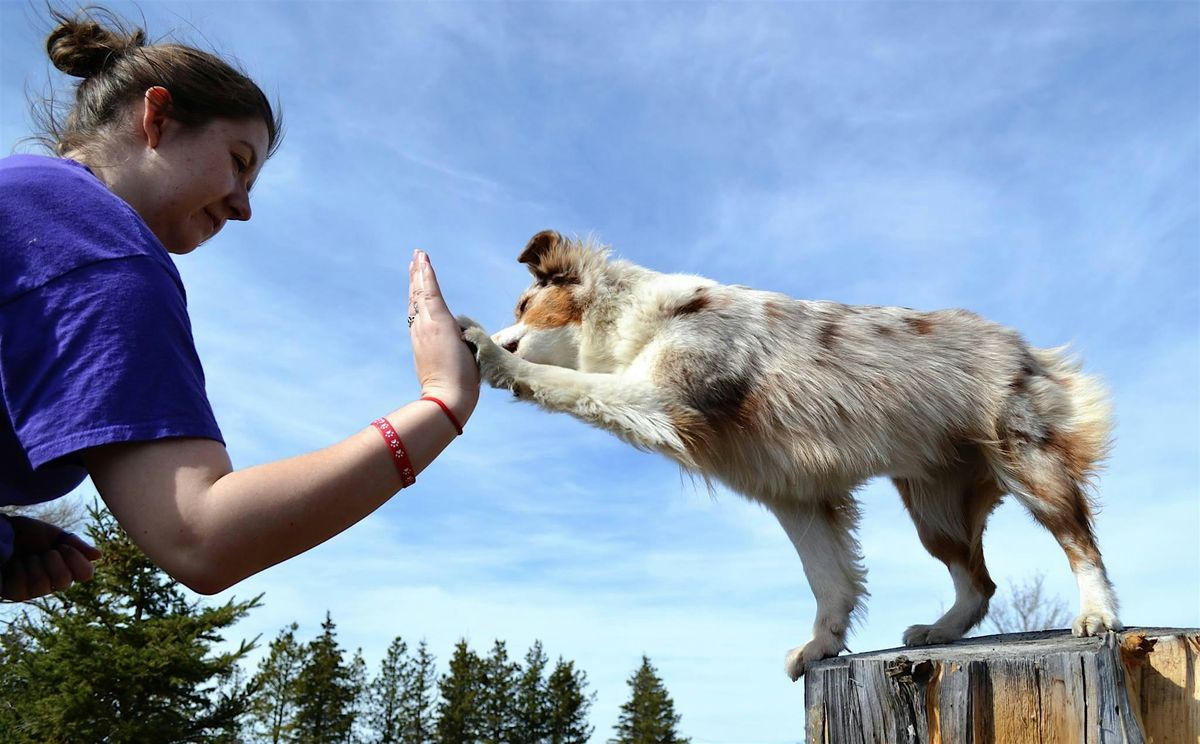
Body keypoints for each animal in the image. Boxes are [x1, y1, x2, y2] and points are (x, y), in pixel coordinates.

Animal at [458, 231, 1123, 681]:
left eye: (521, 307)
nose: (504, 328)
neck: (634, 319)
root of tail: (1024, 344)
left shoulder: (663, 399)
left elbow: (570, 384)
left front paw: (489, 353)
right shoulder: (794, 493)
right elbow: (828, 579)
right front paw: (821, 646)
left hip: (1026, 461)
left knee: (1078, 541)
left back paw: (1098, 616)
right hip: (933, 506)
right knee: (978, 580)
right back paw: (938, 630)